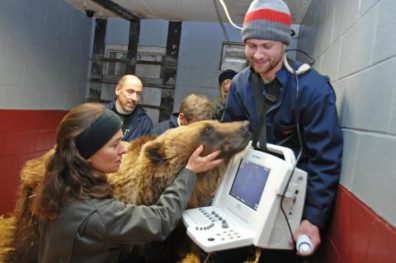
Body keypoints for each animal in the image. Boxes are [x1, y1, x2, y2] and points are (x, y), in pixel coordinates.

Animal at [0, 120, 251, 263]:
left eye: (217, 120)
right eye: (207, 129)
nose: (245, 125)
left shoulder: (172, 238)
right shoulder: (134, 238)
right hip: (32, 211)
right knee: (26, 244)